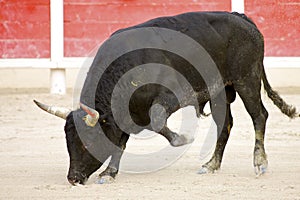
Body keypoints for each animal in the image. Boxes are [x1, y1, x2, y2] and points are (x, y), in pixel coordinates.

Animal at [33, 11, 298, 185]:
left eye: (87, 140)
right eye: (68, 141)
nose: (73, 178)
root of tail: (243, 18)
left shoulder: (172, 97)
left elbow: (157, 120)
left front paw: (183, 138)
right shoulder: (126, 113)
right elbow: (120, 143)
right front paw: (109, 173)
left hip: (247, 79)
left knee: (259, 115)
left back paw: (260, 162)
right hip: (220, 90)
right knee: (226, 124)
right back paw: (211, 165)